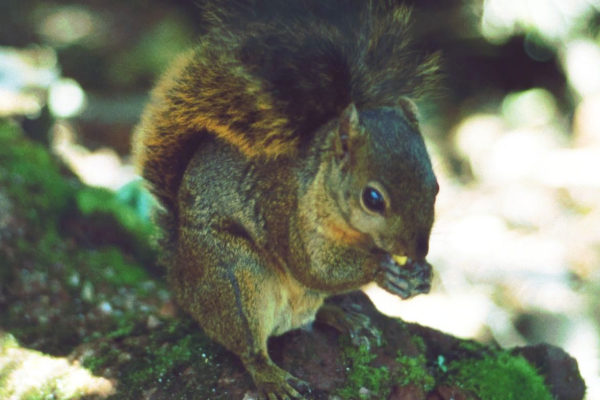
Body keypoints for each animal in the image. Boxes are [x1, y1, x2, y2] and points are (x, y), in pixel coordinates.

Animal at [132, 1, 440, 398]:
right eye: (372, 199)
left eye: (436, 186)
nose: (417, 251)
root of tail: (181, 280)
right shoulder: (283, 210)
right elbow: (313, 268)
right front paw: (382, 270)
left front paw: (422, 275)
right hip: (237, 277)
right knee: (249, 345)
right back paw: (271, 377)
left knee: (309, 314)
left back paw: (344, 317)